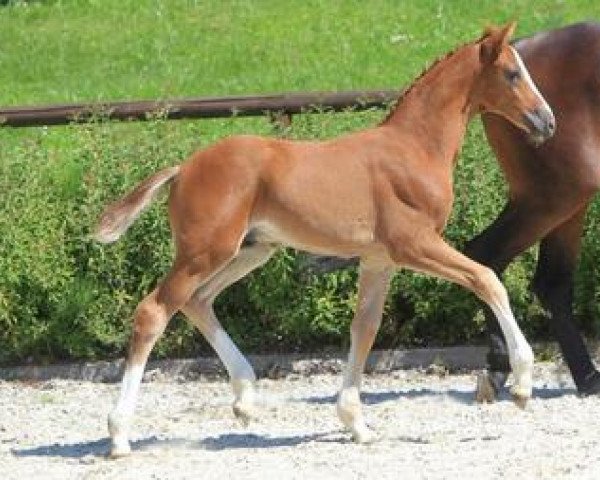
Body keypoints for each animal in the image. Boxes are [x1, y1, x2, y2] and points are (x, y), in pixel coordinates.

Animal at [97, 23, 552, 458]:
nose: (547, 121)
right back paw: (119, 436)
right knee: (154, 312)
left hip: (250, 251)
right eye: (513, 73)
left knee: (197, 301)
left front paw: (356, 424)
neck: (415, 148)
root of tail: (183, 169)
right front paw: (522, 385)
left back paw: (245, 398)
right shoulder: (414, 245)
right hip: (205, 252)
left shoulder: (379, 260)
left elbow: (364, 328)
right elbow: (487, 279)